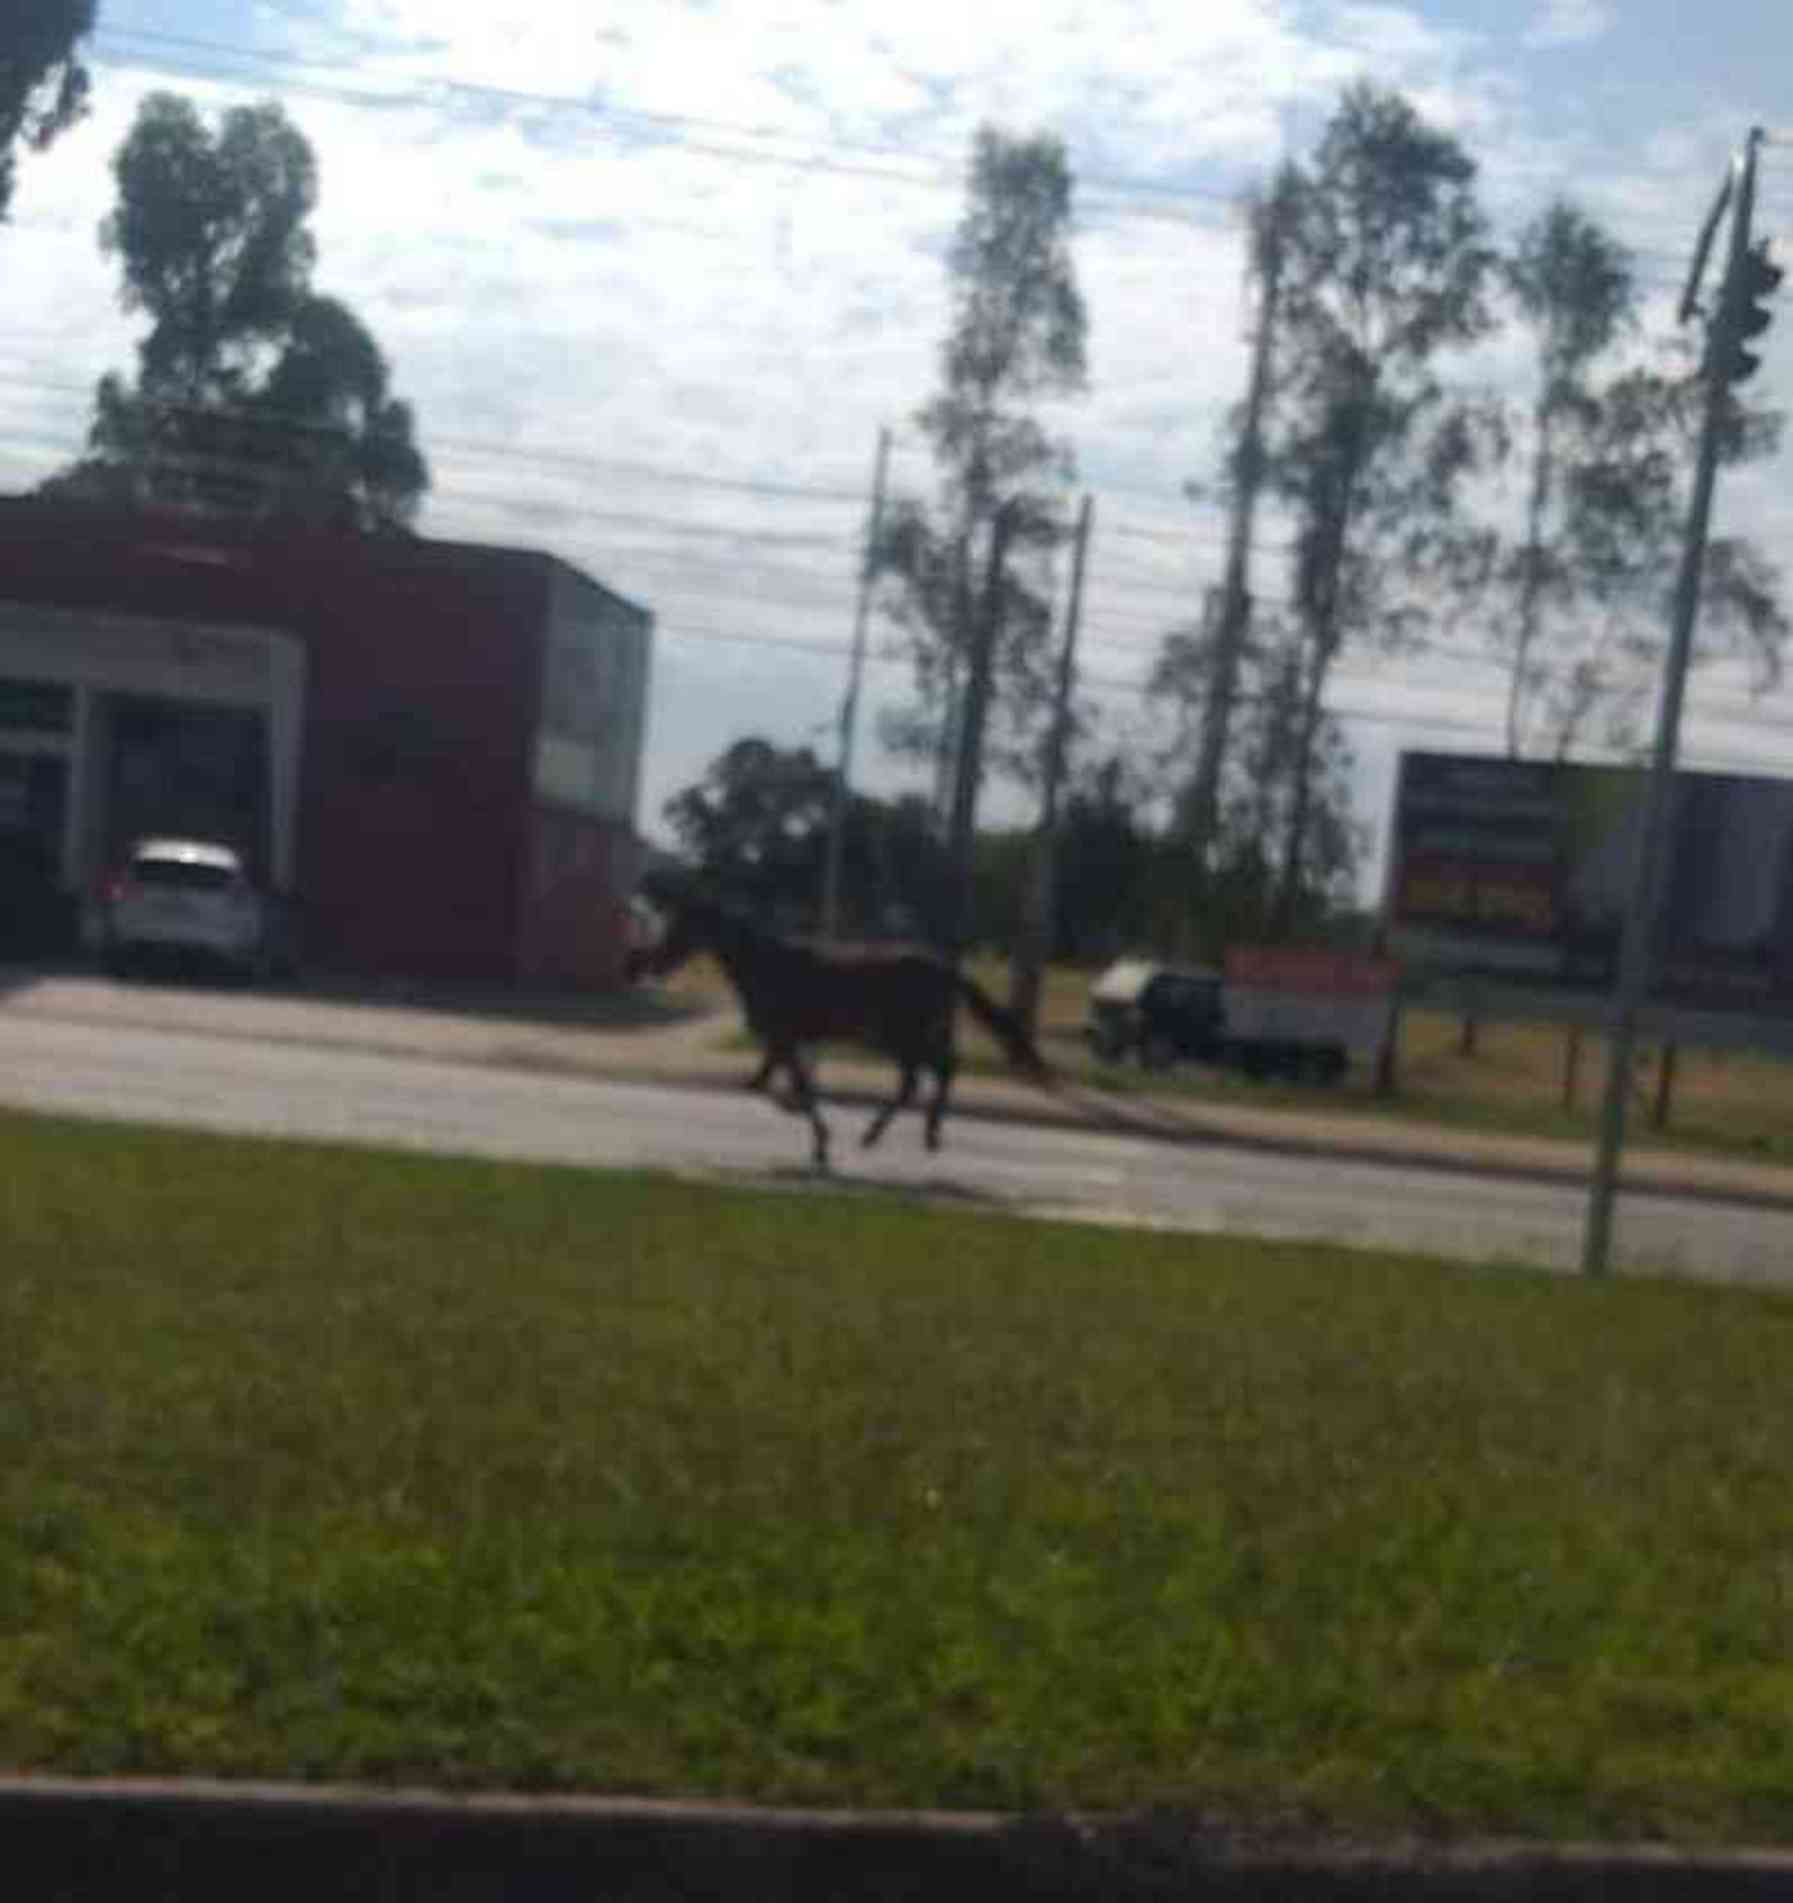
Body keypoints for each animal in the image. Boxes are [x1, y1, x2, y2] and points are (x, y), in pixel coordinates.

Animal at [631, 890, 1050, 1172]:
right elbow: (767, 1085)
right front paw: (814, 1133)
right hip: (902, 1037)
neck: (766, 965)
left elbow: (787, 1088)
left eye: (679, 925)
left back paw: (902, 1135)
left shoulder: (783, 1038)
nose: (647, 963)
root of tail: (946, 968)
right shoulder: (781, 1042)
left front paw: (818, 1139)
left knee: (933, 1072)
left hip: (901, 1035)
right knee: (929, 1074)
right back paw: (907, 1135)